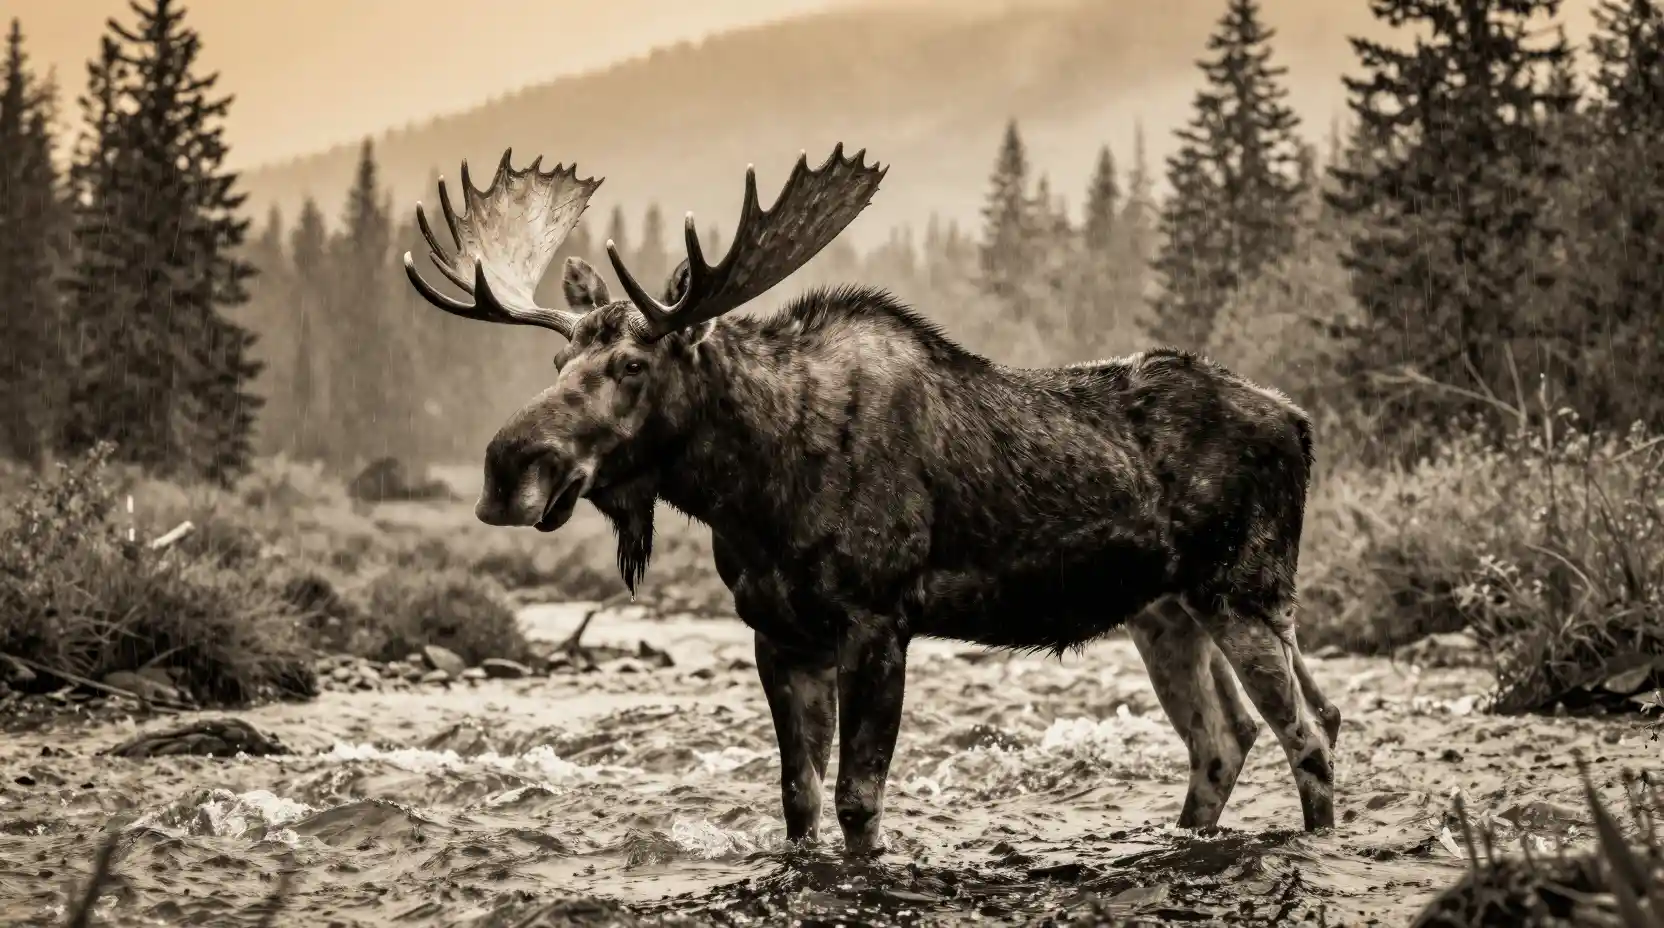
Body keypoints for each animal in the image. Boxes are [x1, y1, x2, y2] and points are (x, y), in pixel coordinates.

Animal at [402, 145, 1344, 856]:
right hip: (1168, 609)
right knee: (1232, 736)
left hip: (1244, 591)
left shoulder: (878, 620)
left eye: (632, 365)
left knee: (1309, 735)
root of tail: (1301, 423)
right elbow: (798, 800)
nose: (504, 469)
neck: (752, 492)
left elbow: (859, 801)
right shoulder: (779, 634)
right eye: (558, 364)